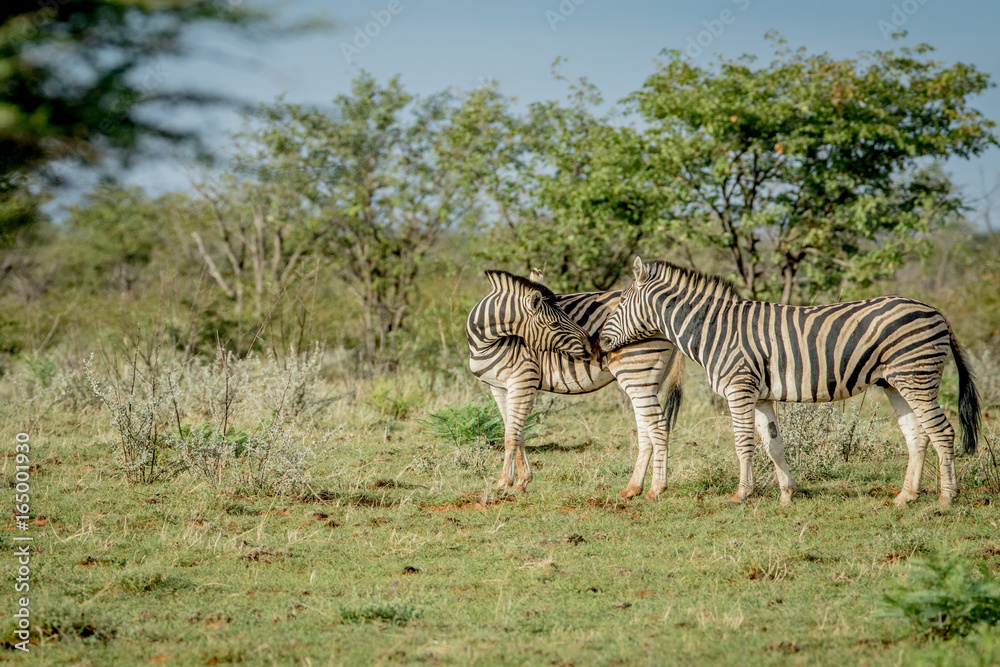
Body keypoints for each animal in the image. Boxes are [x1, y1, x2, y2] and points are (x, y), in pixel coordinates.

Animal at [468, 269, 684, 497]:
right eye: (554, 324)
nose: (592, 345)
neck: (485, 341)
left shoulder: (523, 379)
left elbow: (511, 434)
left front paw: (503, 483)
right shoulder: (499, 387)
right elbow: (516, 431)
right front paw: (521, 481)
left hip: (635, 369)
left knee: (658, 425)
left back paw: (656, 489)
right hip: (647, 378)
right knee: (646, 427)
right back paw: (632, 489)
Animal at [599, 257, 981, 507]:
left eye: (620, 302)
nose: (600, 343)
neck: (714, 330)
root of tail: (937, 312)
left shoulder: (739, 389)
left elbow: (743, 443)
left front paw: (741, 494)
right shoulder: (761, 396)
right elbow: (773, 445)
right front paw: (786, 494)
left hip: (917, 378)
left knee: (942, 432)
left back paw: (947, 497)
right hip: (895, 383)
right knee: (917, 437)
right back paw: (906, 496)